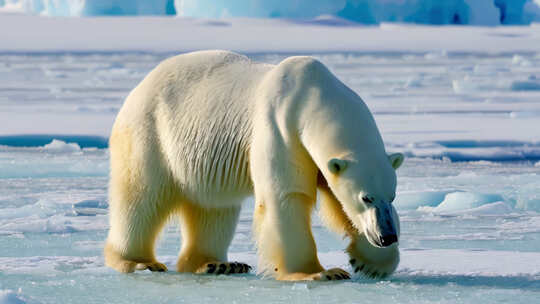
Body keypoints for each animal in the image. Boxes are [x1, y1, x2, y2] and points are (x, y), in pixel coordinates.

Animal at [104, 50, 400, 280]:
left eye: (392, 196)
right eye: (366, 197)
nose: (387, 236)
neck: (312, 94)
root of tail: (141, 84)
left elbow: (337, 202)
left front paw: (372, 263)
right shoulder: (279, 126)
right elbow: (286, 196)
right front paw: (319, 272)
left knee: (213, 207)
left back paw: (217, 264)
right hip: (151, 134)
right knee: (141, 197)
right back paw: (138, 261)